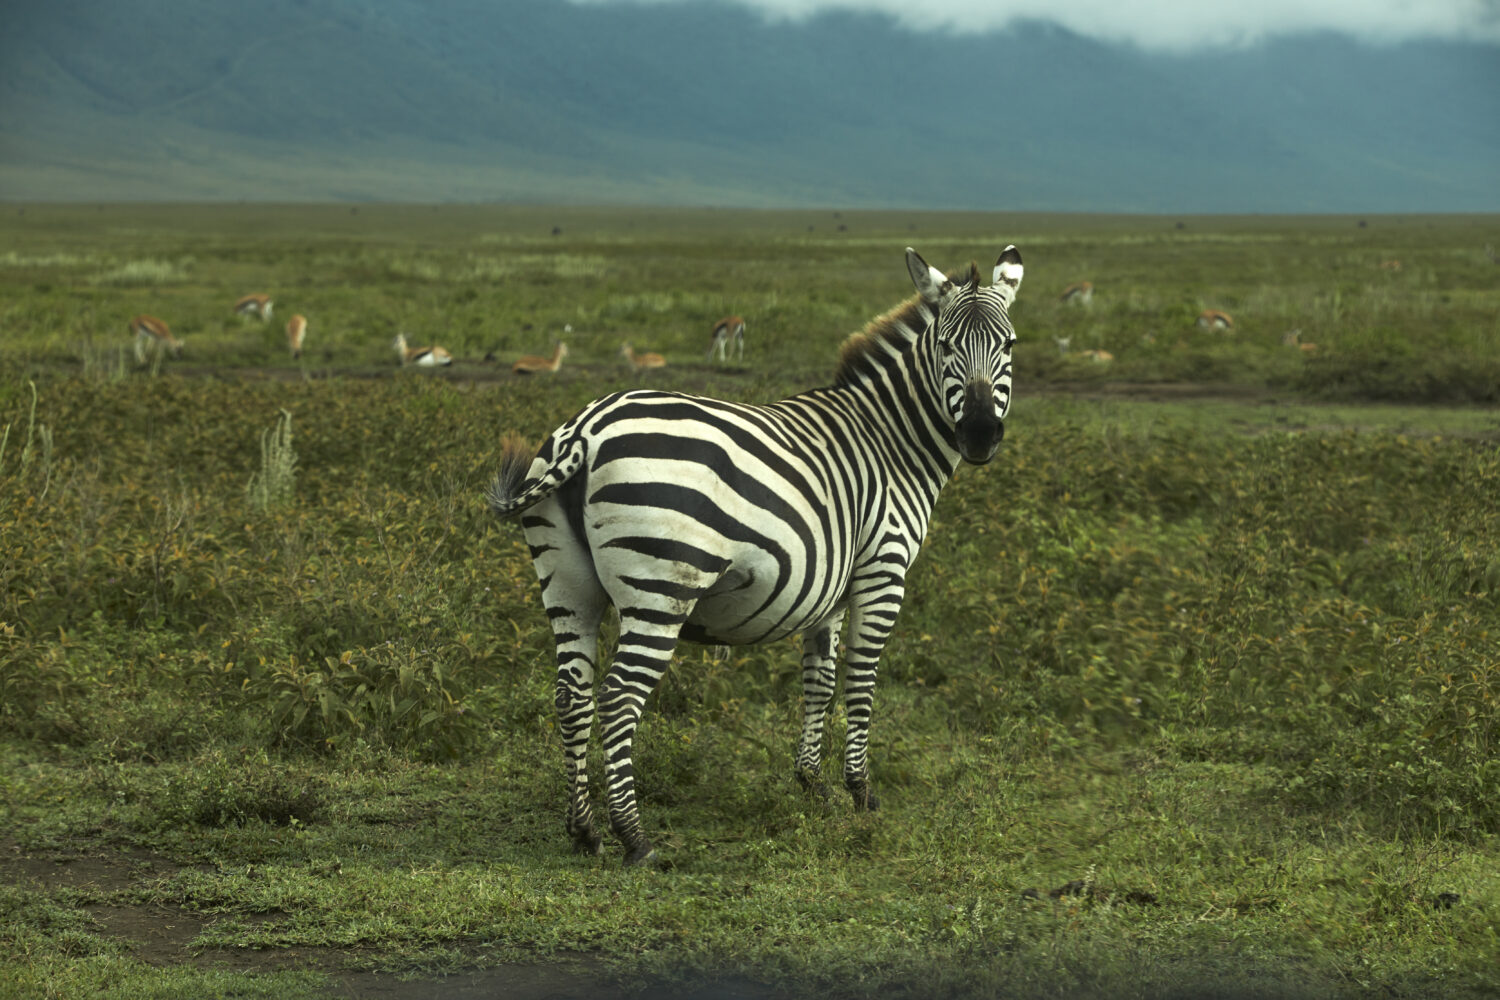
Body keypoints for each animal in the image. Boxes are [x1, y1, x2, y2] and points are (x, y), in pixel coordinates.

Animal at [485, 246, 1024, 865]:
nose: (980, 435)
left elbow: (820, 680)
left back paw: (584, 831)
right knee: (618, 698)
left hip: (567, 582)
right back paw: (635, 838)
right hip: (661, 587)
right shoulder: (883, 571)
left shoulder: (829, 586)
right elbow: (861, 679)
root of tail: (586, 431)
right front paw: (860, 791)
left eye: (1010, 345)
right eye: (946, 346)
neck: (892, 442)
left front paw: (811, 784)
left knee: (571, 693)